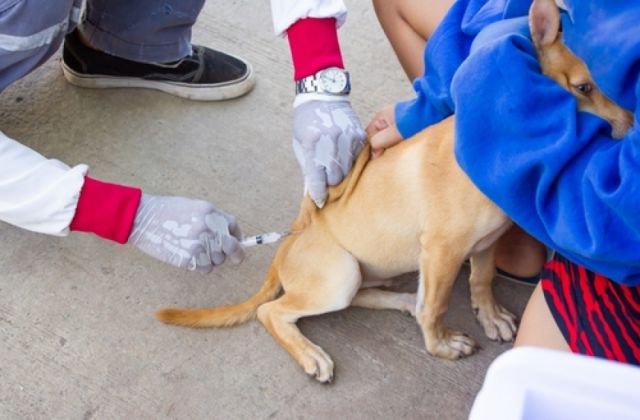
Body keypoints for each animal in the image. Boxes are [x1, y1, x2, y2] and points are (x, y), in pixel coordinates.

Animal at [158, 0, 632, 382]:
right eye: (583, 88)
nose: (633, 130)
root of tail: (288, 243)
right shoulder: (443, 250)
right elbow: (437, 308)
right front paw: (441, 346)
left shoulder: (485, 244)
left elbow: (481, 279)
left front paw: (490, 315)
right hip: (338, 274)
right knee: (271, 311)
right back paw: (312, 353)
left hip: (362, 273)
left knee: (366, 296)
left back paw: (404, 300)